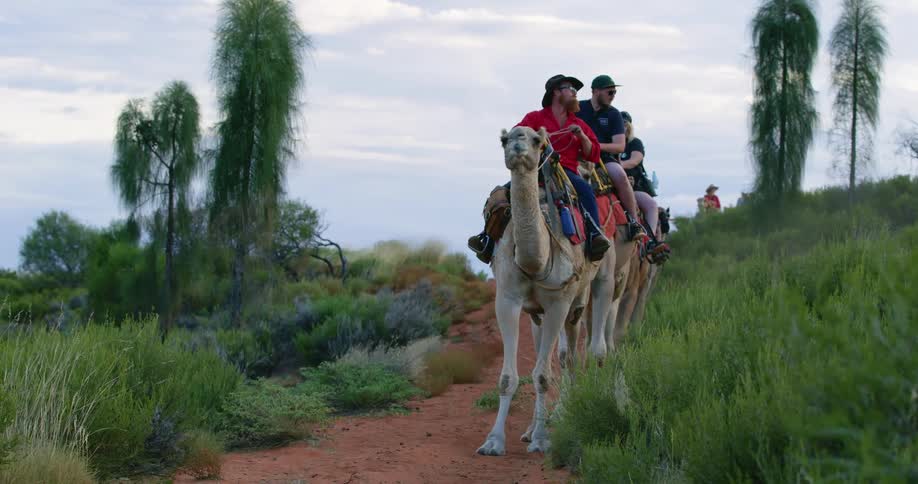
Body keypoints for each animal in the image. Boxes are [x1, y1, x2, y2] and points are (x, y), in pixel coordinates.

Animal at [476, 126, 601, 456]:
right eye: (504, 140)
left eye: (536, 140)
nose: (517, 147)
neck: (537, 259)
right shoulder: (507, 299)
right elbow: (508, 377)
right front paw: (493, 442)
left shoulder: (559, 301)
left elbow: (544, 376)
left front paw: (543, 440)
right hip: (536, 314)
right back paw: (530, 429)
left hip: (578, 300)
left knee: (569, 353)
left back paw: (560, 415)